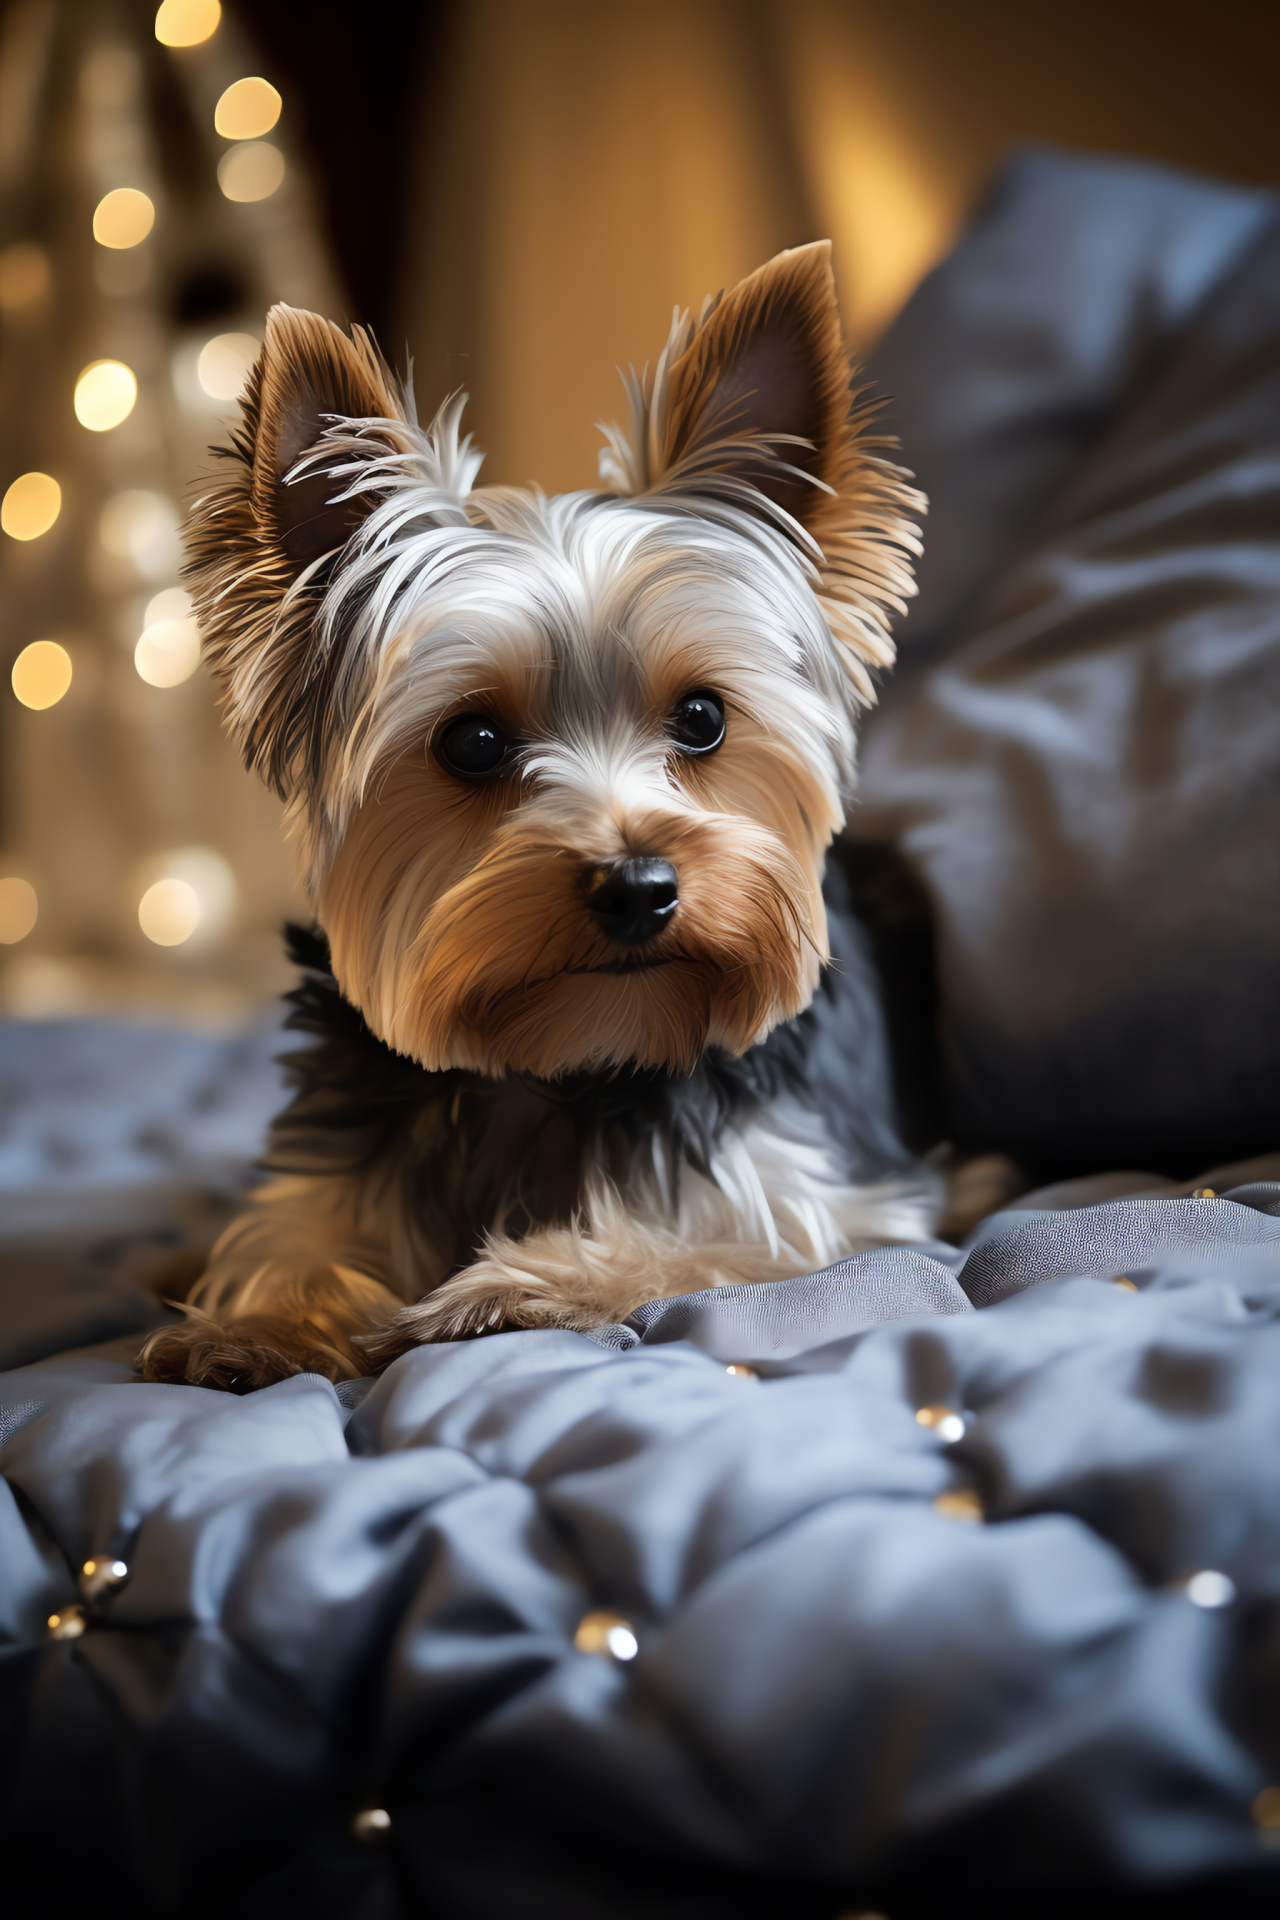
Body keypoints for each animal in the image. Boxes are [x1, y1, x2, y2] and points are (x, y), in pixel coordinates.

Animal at [140, 243, 936, 1397]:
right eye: (472, 741)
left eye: (702, 719)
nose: (637, 887)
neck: (570, 1058)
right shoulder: (339, 1152)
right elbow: (292, 1228)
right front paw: (257, 1321)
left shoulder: (836, 1202)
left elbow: (704, 1238)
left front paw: (507, 1286)